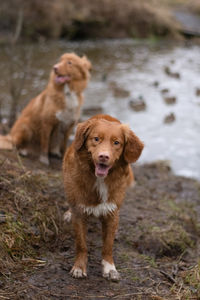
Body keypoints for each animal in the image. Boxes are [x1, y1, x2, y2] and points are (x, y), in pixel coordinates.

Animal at [63, 113, 144, 280]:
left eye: (116, 142)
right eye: (96, 139)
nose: (103, 156)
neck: (99, 179)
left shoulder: (112, 213)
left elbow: (108, 245)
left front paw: (109, 268)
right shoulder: (79, 212)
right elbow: (81, 244)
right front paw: (79, 267)